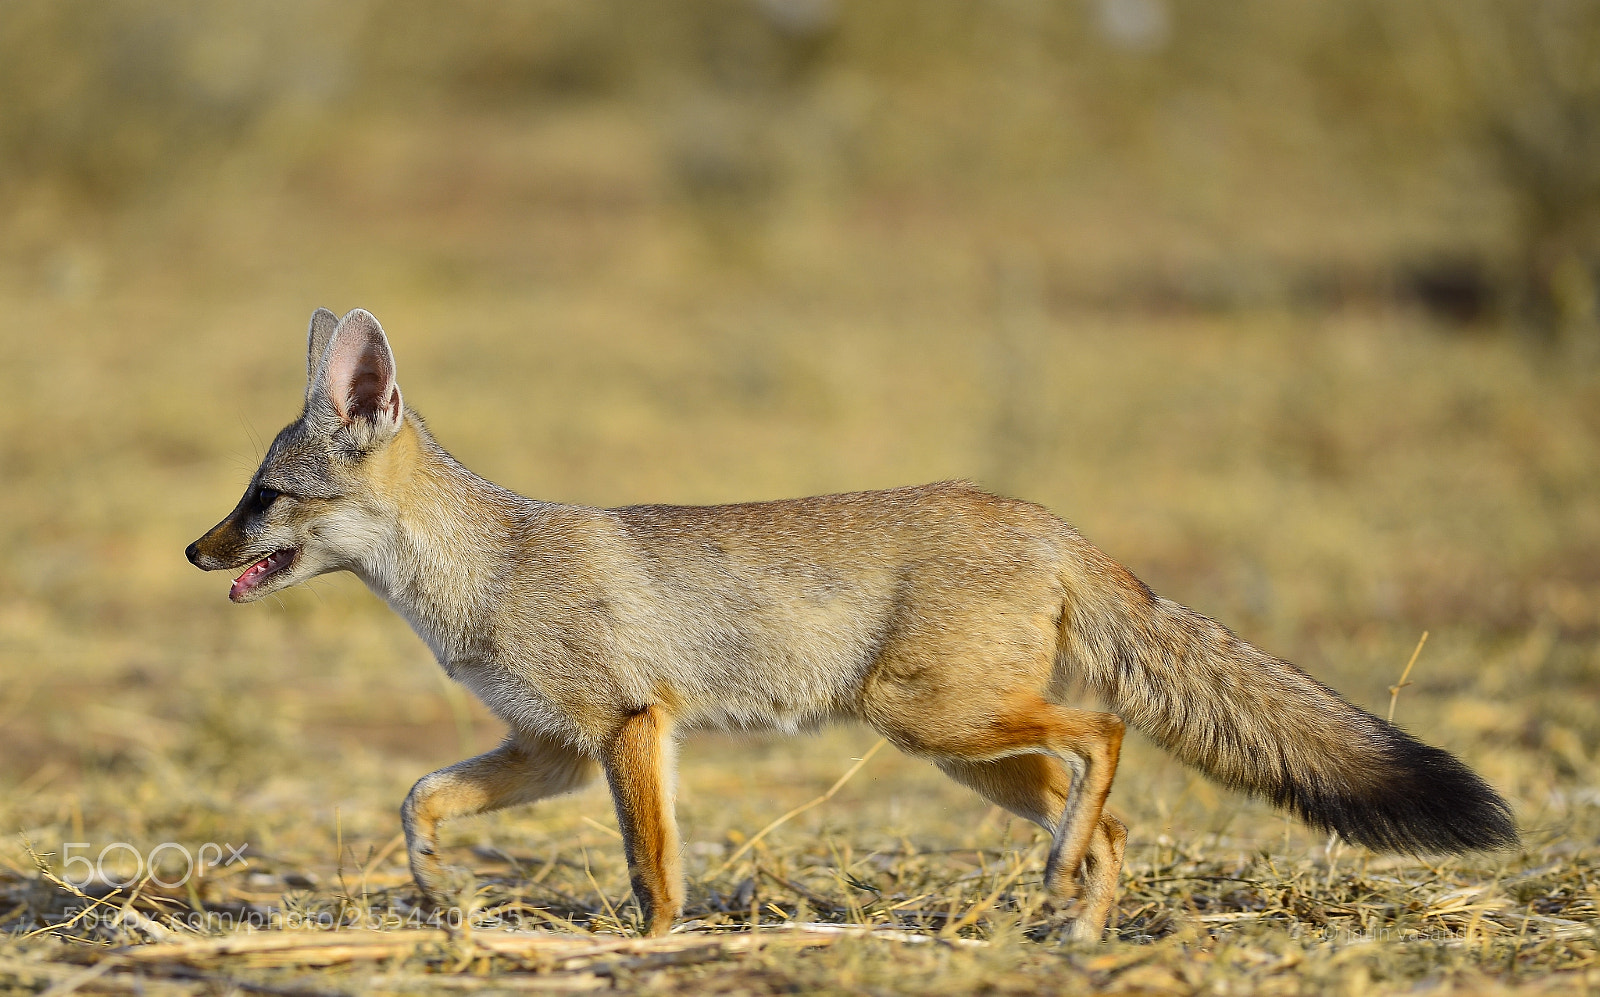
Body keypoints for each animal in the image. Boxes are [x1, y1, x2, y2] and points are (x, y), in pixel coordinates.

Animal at [187, 308, 1517, 940]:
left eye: (264, 497)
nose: (197, 552)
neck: (488, 563)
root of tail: (1045, 518)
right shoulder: (555, 750)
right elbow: (419, 795)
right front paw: (429, 883)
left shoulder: (630, 727)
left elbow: (652, 861)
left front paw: (656, 945)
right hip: (965, 750)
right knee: (1110, 818)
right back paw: (1075, 925)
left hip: (934, 720)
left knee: (1105, 738)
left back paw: (1064, 891)